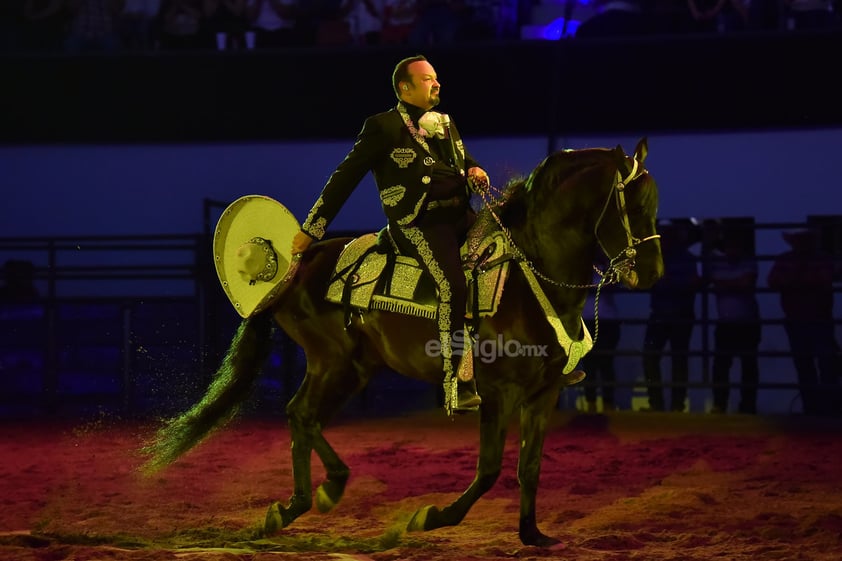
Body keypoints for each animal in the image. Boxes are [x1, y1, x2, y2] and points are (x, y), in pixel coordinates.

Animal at [139, 138, 664, 544]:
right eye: (634, 206)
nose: (653, 272)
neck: (527, 274)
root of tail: (294, 268)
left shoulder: (544, 392)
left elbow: (529, 467)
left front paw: (532, 535)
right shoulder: (498, 392)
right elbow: (490, 468)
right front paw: (431, 518)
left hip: (352, 368)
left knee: (302, 416)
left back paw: (303, 501)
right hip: (333, 362)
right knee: (301, 415)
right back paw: (315, 495)